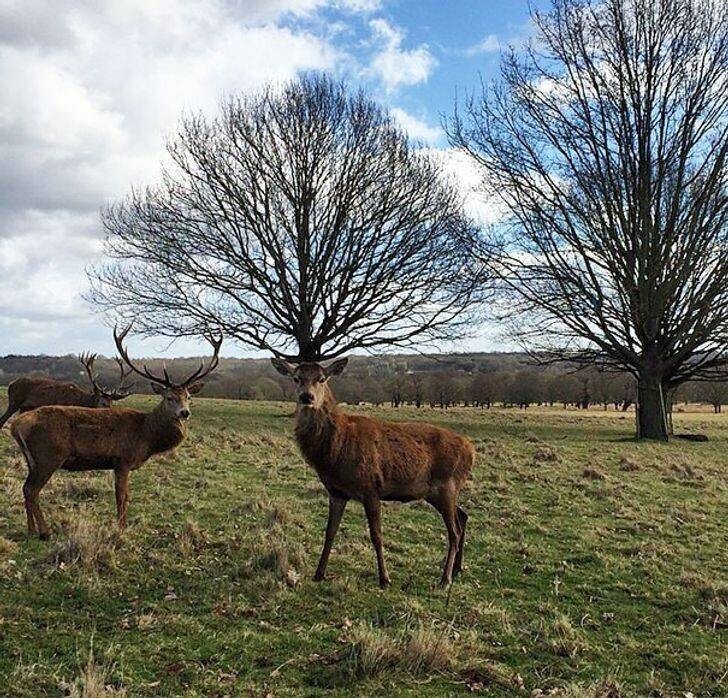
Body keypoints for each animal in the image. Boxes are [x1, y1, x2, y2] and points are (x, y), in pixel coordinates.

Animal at [0, 350, 134, 426]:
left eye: (111, 403)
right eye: (103, 403)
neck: (80, 401)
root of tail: (11, 384)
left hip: (25, 407)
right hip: (14, 402)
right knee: (2, 419)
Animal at [270, 356, 474, 584]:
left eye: (322, 378)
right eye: (296, 378)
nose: (307, 396)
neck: (337, 449)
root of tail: (471, 450)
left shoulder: (371, 487)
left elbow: (376, 535)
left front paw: (385, 579)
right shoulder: (336, 492)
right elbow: (330, 531)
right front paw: (319, 574)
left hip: (447, 485)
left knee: (454, 531)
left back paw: (445, 579)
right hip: (437, 493)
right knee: (463, 517)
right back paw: (457, 569)